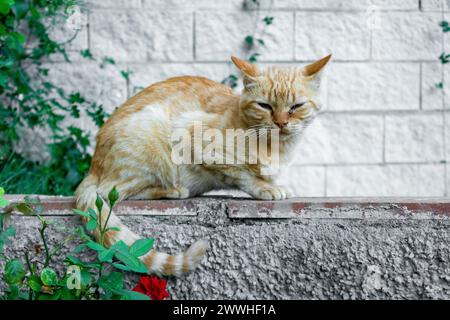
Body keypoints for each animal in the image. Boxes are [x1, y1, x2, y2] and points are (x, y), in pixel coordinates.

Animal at [75, 53, 330, 276]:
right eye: (264, 106)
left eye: (296, 106)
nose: (280, 123)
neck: (276, 147)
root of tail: (92, 167)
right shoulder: (198, 142)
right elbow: (243, 175)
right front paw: (266, 187)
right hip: (152, 136)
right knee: (111, 193)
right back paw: (173, 190)